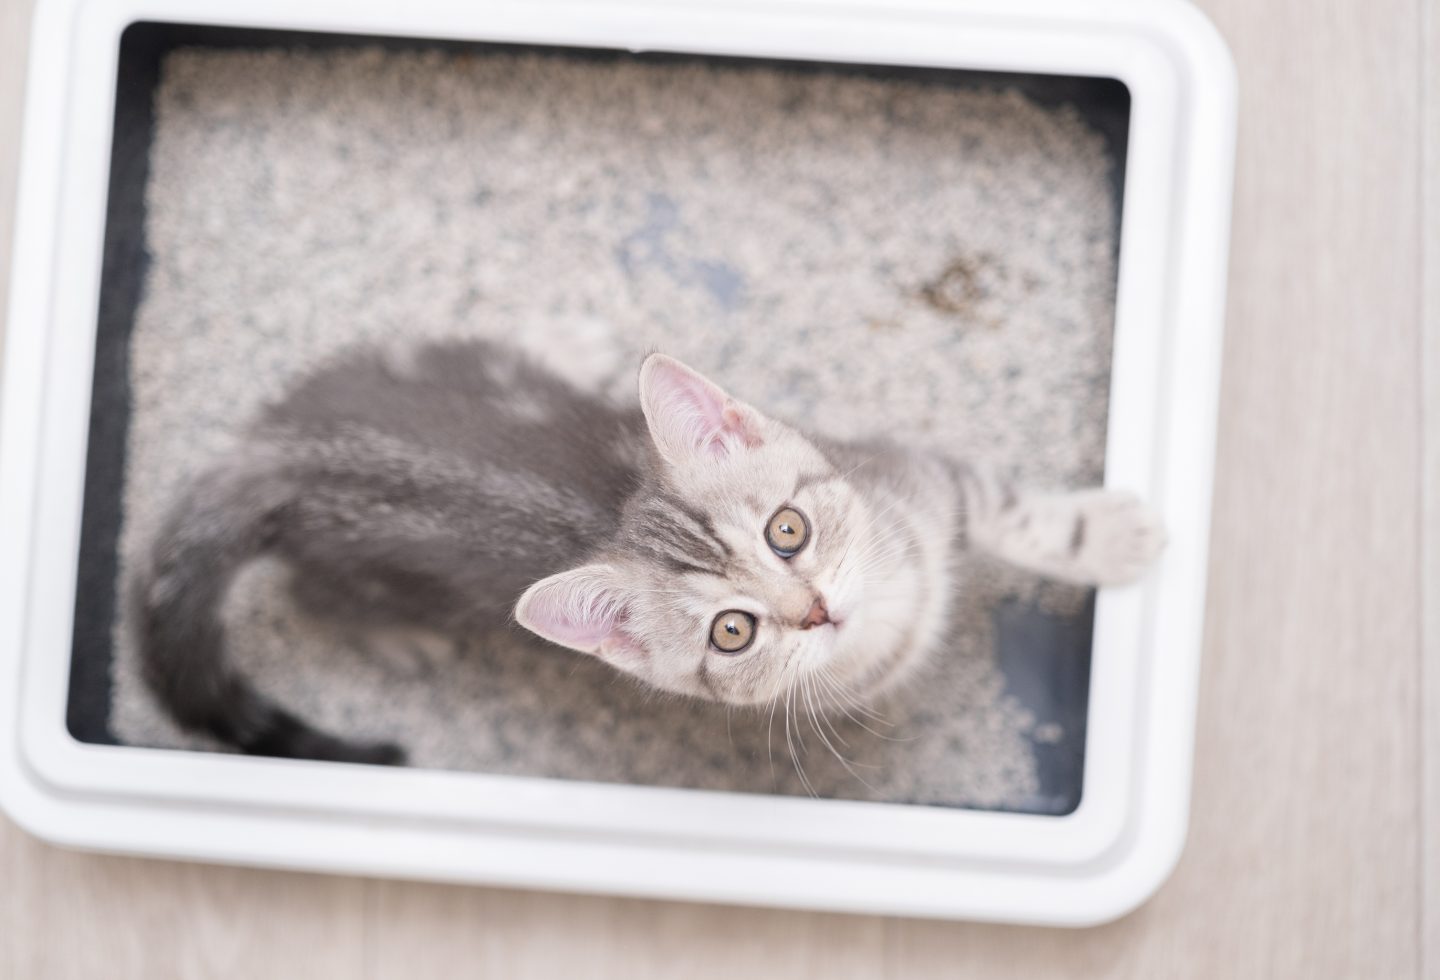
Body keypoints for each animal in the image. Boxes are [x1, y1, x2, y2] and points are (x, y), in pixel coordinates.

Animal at [135, 338, 1163, 765]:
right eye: (734, 632)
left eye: (788, 529)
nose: (816, 610)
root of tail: (271, 452)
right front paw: (1116, 537)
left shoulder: (915, 479)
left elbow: (1005, 509)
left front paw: (1100, 534)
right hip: (353, 571)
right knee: (319, 601)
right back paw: (396, 639)